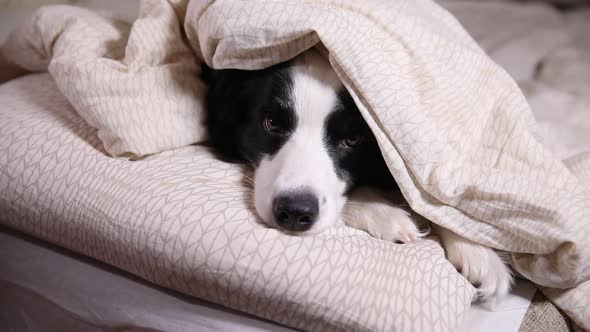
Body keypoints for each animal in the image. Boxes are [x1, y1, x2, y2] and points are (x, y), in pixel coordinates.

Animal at [202, 50, 512, 304]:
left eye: (352, 139)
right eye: (271, 124)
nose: (294, 211)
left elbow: (430, 197)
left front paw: (478, 253)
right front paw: (384, 214)